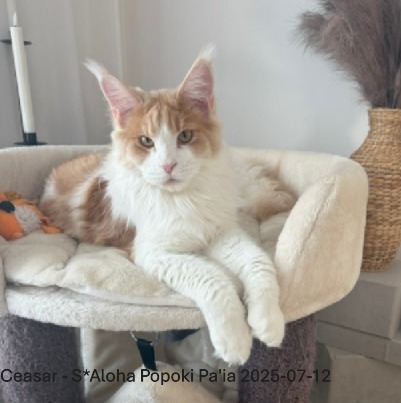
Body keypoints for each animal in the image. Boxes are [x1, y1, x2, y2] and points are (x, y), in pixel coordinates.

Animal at [40, 47, 289, 365]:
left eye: (185, 136)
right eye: (146, 141)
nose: (168, 165)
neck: (182, 197)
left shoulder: (220, 232)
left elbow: (258, 262)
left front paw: (268, 320)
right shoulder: (154, 253)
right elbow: (212, 277)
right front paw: (233, 339)